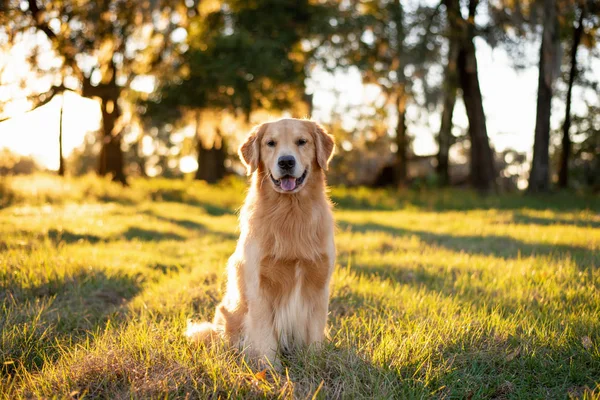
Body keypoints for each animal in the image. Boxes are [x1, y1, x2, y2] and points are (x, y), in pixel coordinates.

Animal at [186, 116, 338, 366]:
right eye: (270, 143)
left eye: (302, 141)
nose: (286, 162)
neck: (290, 211)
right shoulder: (259, 286)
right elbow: (266, 337)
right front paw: (271, 369)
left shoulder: (318, 282)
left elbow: (315, 333)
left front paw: (315, 363)